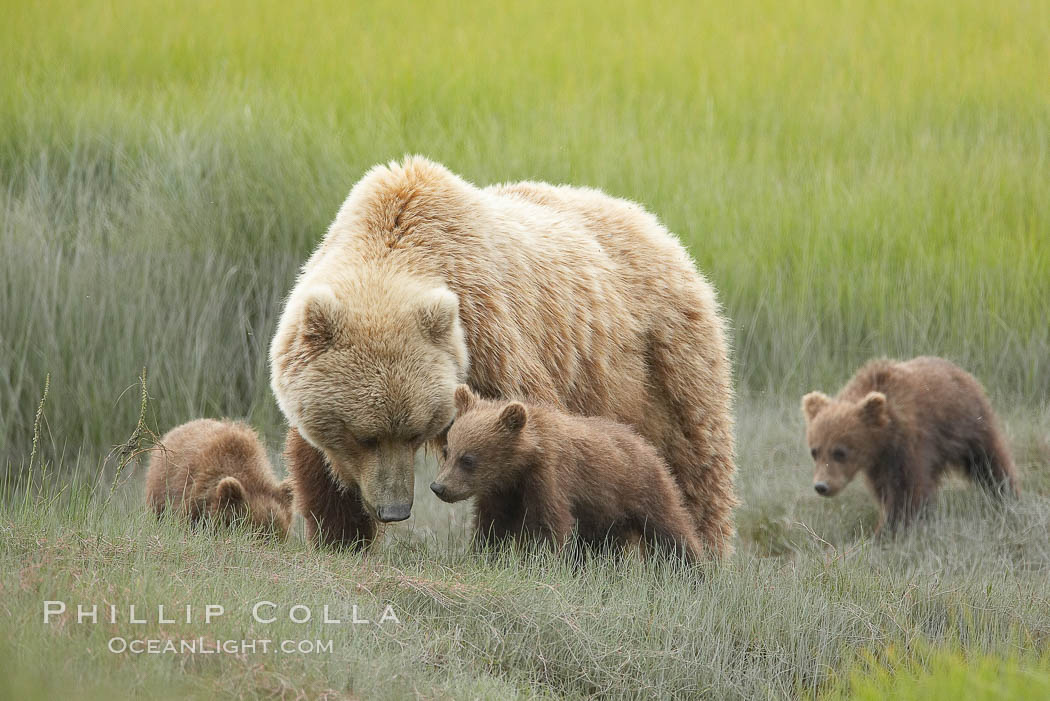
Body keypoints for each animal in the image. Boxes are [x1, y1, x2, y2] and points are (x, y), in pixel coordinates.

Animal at [270, 156, 739, 554]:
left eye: (415, 431)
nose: (395, 510)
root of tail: (658, 228)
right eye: (365, 435)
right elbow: (315, 461)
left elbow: (517, 441)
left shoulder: (490, 339)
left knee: (693, 463)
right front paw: (340, 537)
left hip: (662, 361)